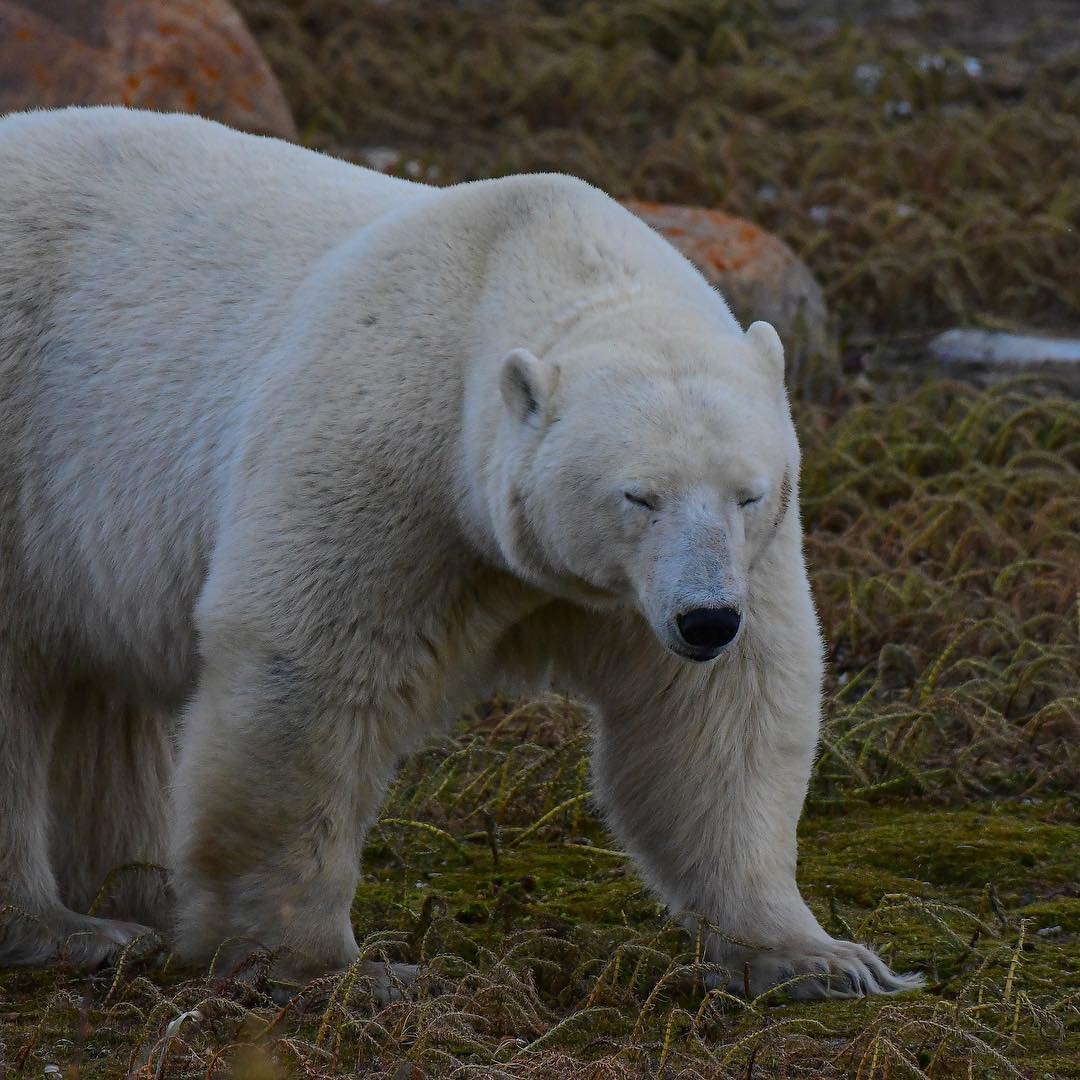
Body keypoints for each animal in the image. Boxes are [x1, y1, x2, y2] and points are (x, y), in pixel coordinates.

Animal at [0, 106, 920, 999]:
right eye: (639, 496)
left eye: (748, 493)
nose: (705, 620)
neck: (508, 263)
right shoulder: (382, 460)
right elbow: (310, 676)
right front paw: (325, 966)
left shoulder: (698, 575)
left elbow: (718, 716)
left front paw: (821, 960)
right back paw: (71, 932)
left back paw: (137, 896)